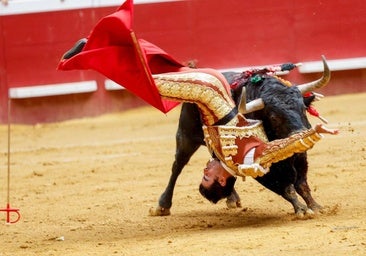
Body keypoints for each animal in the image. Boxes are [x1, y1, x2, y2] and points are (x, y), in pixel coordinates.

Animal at [150, 55, 330, 216]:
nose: (300, 133)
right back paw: (163, 205)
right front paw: (301, 209)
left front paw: (315, 206)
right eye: (273, 116)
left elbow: (302, 184)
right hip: (185, 136)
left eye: (303, 109)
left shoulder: (299, 156)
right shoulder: (260, 165)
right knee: (177, 166)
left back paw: (232, 198)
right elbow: (286, 187)